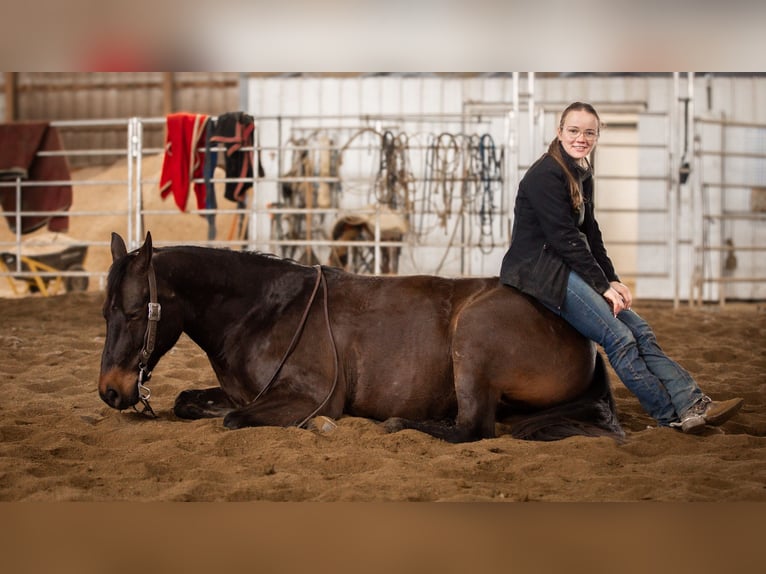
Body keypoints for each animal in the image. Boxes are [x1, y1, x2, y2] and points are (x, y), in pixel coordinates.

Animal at [99, 232, 628, 444]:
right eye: (105, 312)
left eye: (134, 312)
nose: (110, 391)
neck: (264, 309)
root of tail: (582, 333)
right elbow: (190, 401)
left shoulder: (307, 396)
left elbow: (234, 421)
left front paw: (320, 427)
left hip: (475, 340)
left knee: (472, 428)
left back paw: (399, 424)